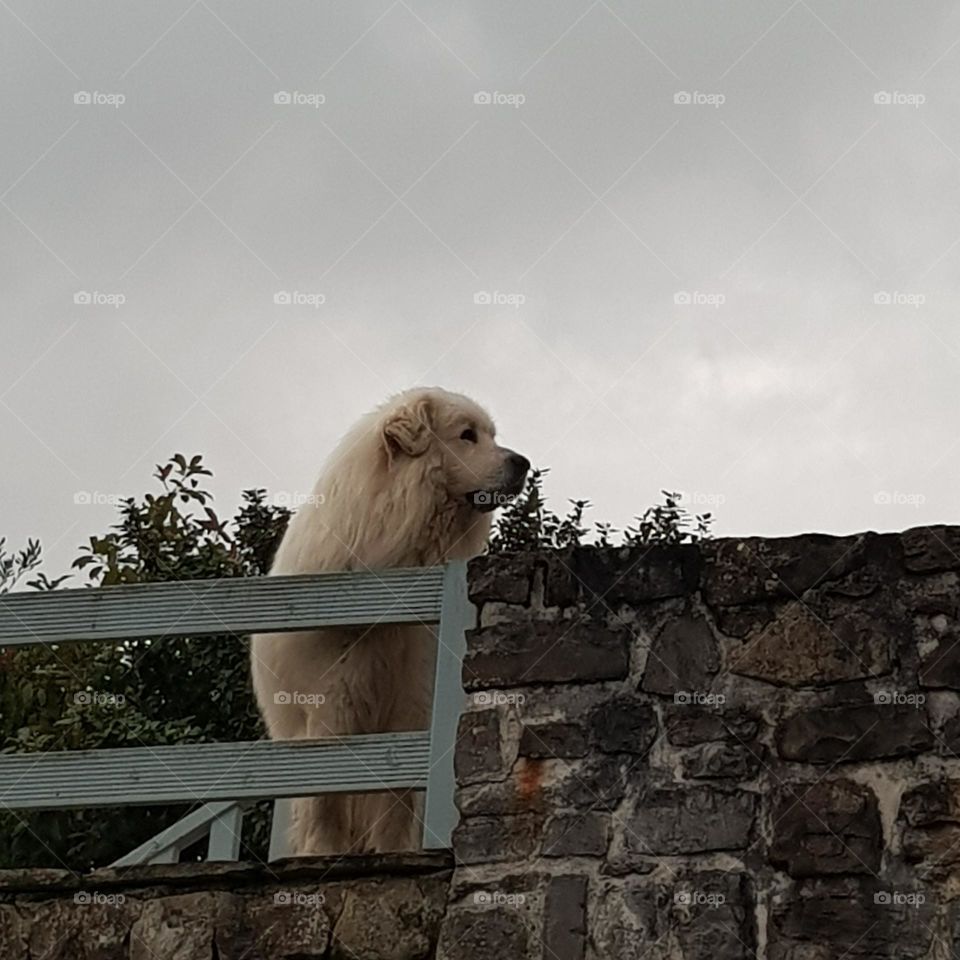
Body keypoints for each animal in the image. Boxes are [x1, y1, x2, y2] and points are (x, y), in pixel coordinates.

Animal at [251, 386, 528, 852]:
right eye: (467, 435)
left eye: (492, 435)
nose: (522, 463)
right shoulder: (332, 702)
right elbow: (326, 796)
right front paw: (323, 853)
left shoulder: (412, 701)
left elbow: (396, 798)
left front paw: (393, 848)